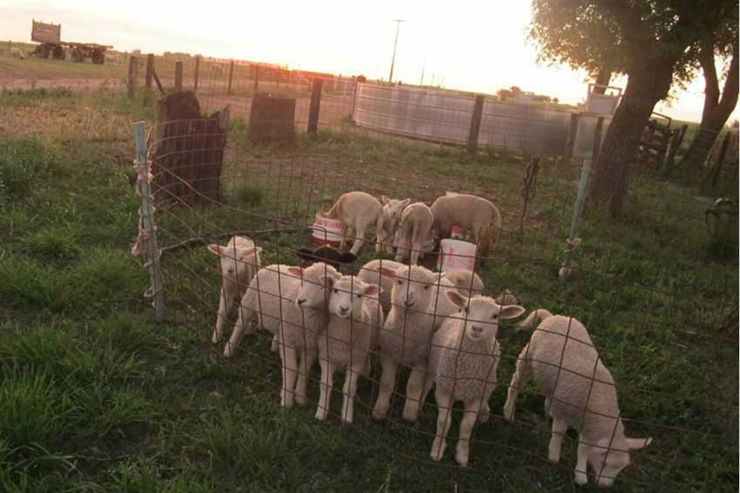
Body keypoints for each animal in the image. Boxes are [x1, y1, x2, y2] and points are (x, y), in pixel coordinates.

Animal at [228, 262, 342, 408]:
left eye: (323, 286)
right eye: (303, 280)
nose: (300, 301)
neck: (308, 318)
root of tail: (274, 264)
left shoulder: (311, 346)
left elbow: (304, 370)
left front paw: (300, 396)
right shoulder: (288, 339)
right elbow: (291, 369)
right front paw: (287, 400)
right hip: (249, 300)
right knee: (240, 324)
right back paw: (229, 349)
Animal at [314, 274, 382, 424]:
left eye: (358, 295)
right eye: (335, 290)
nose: (344, 308)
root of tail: (356, 277)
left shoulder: (356, 360)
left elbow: (349, 389)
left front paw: (346, 416)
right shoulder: (326, 355)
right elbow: (325, 384)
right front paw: (321, 411)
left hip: (370, 342)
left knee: (368, 354)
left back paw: (366, 370)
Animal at [370, 264, 440, 420]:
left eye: (426, 287)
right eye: (399, 281)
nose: (409, 300)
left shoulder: (422, 360)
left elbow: (414, 385)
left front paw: (410, 412)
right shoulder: (388, 354)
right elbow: (387, 383)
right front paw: (380, 409)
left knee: (427, 384)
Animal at [422, 290, 528, 468]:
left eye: (495, 316)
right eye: (467, 308)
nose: (477, 328)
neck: (469, 368)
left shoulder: (476, 395)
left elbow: (467, 426)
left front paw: (462, 455)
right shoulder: (444, 389)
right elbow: (444, 422)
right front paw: (437, 450)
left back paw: (484, 412)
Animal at [502, 310, 652, 486]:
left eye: (620, 469)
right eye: (604, 463)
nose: (605, 486)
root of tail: (553, 316)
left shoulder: (587, 424)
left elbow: (583, 448)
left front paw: (580, 474)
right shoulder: (563, 410)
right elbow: (559, 432)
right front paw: (554, 456)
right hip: (528, 355)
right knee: (516, 383)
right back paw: (509, 411)